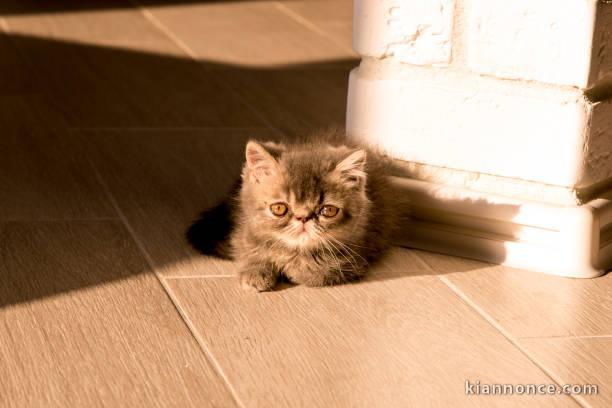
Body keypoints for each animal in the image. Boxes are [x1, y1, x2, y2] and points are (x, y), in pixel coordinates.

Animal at [189, 133, 404, 290]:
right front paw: (256, 271)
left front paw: (297, 270)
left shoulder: (357, 257)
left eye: (328, 210)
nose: (303, 218)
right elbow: (248, 250)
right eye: (279, 208)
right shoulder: (244, 231)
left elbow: (320, 272)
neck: (292, 249)